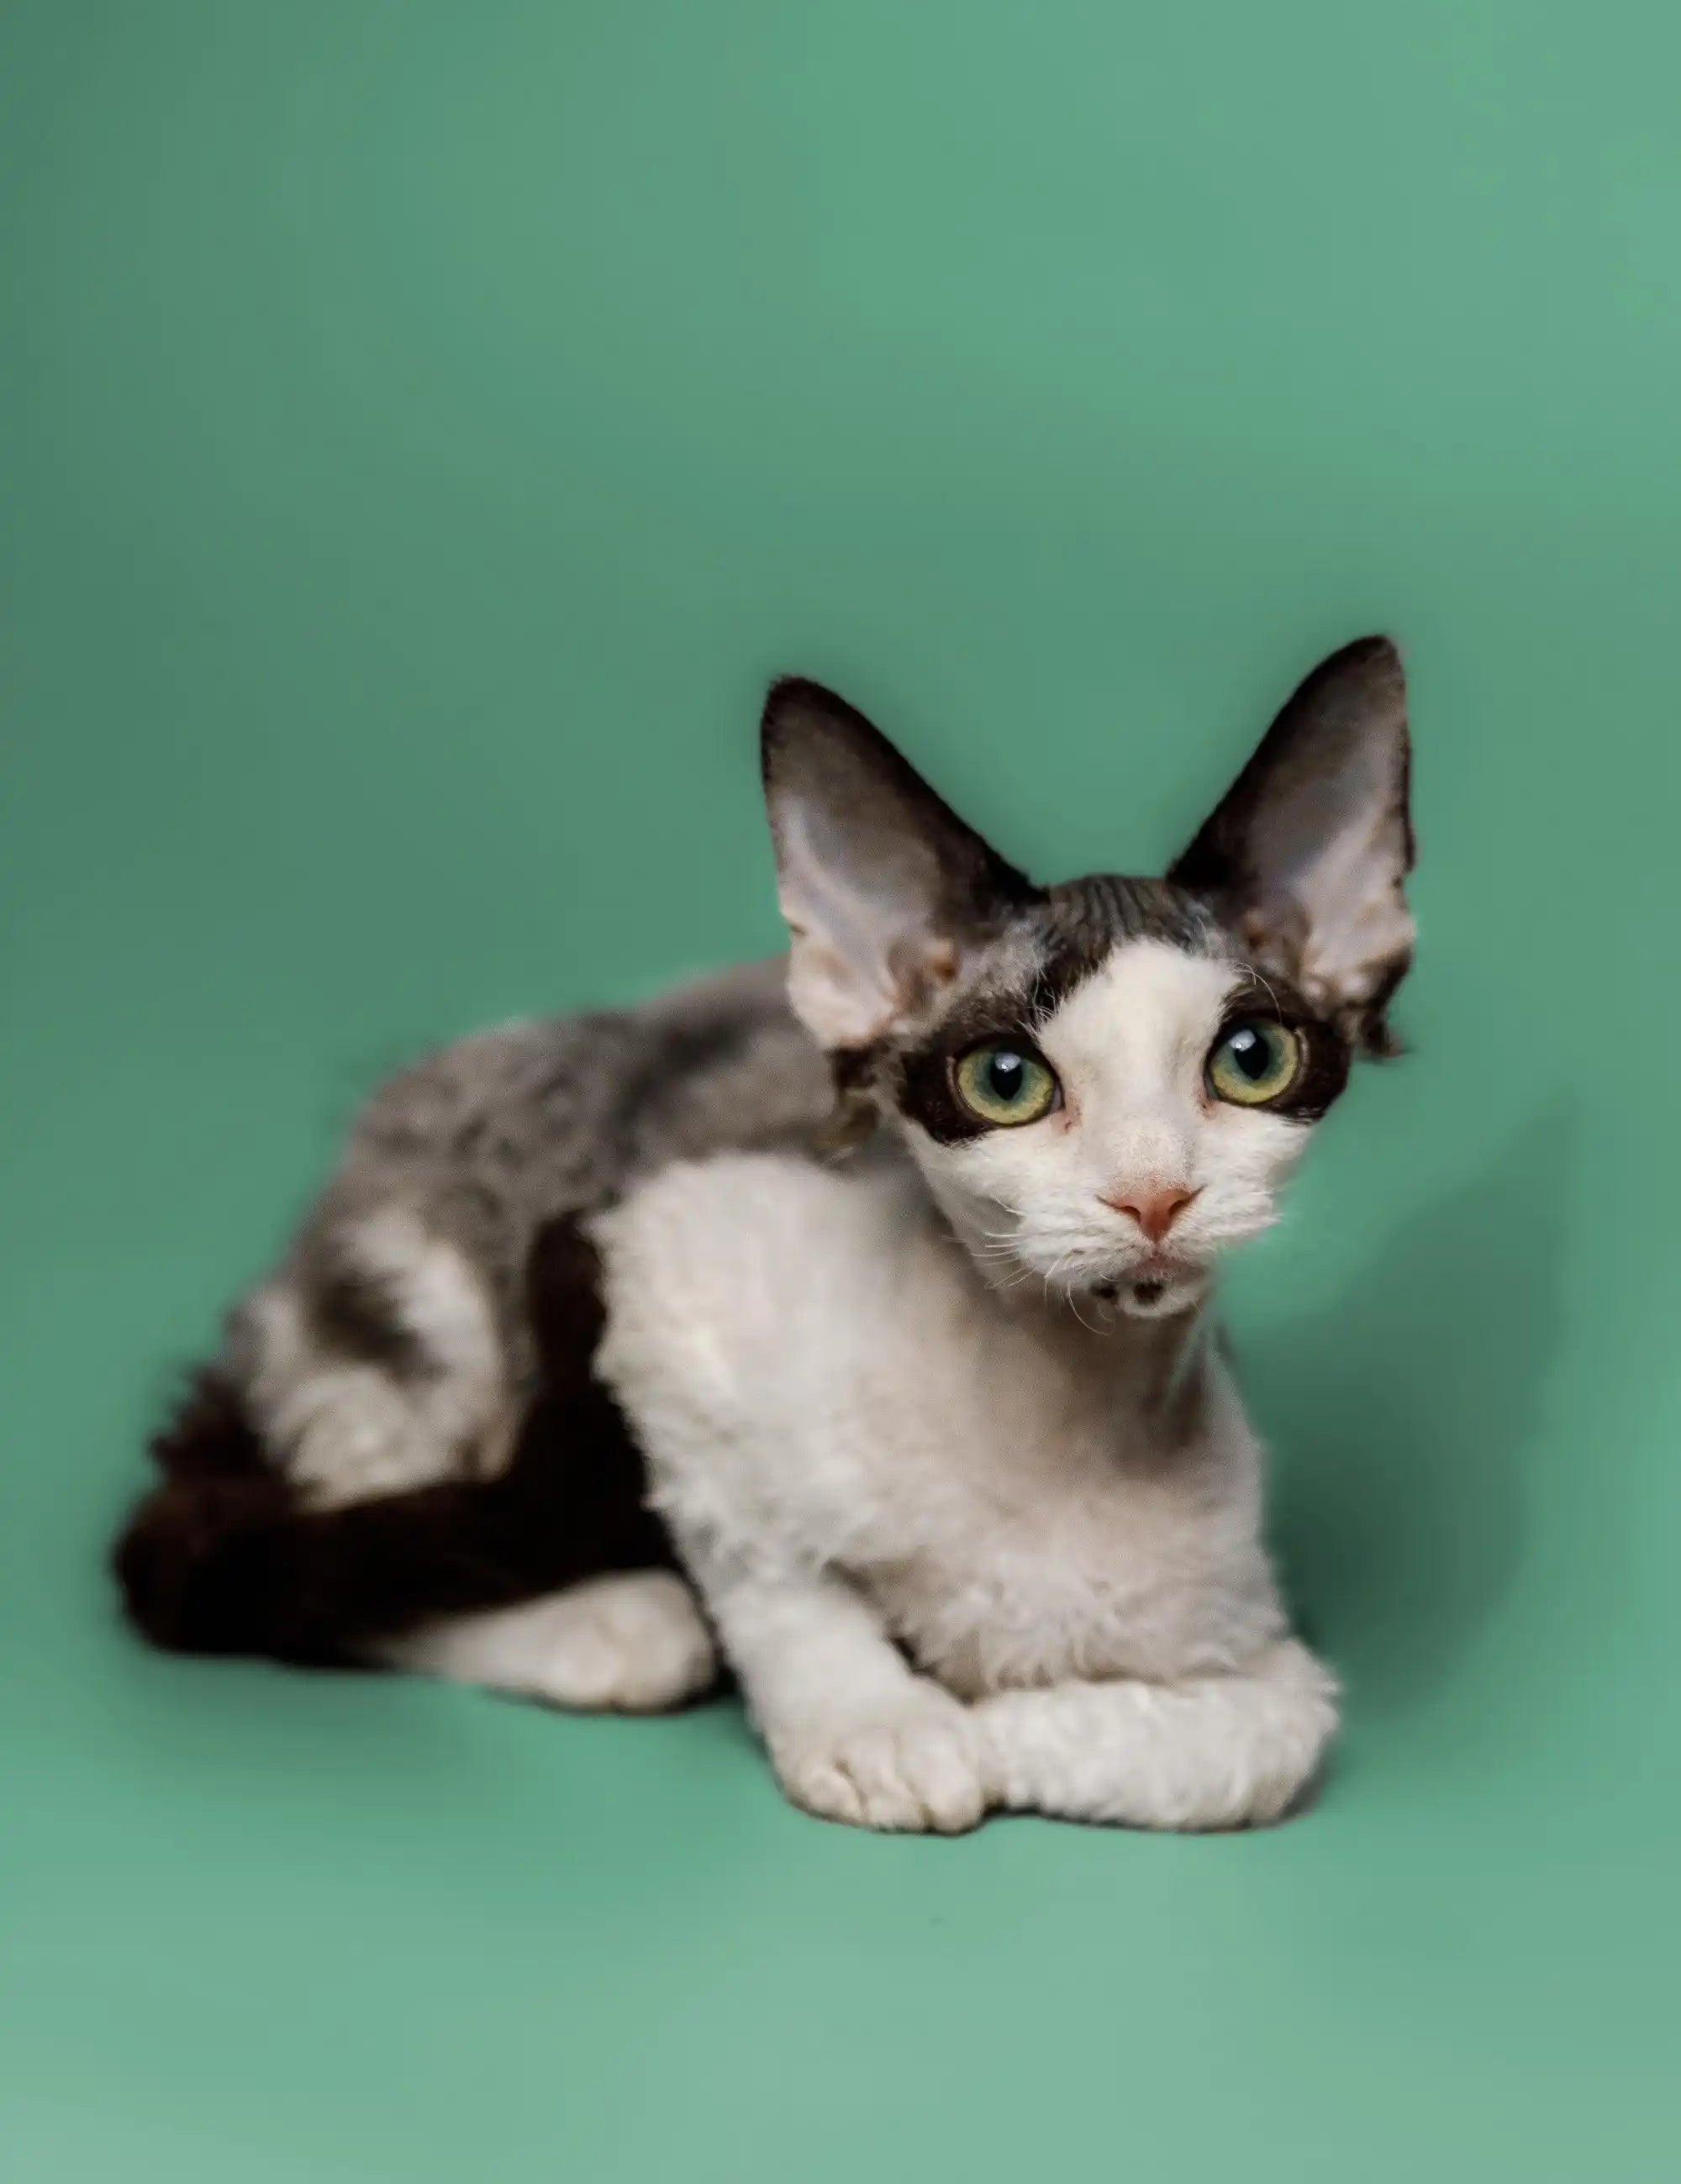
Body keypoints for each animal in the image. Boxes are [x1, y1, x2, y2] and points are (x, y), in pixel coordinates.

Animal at [111, 637, 1405, 1834]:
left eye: (1250, 1060)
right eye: (1004, 1080)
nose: (1152, 1195)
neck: (1071, 1411)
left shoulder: (1263, 1655)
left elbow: (1252, 1744)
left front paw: (992, 1715)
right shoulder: (665, 1286)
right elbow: (776, 1577)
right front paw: (881, 1723)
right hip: (433, 1311)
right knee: (329, 1573)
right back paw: (613, 1622)